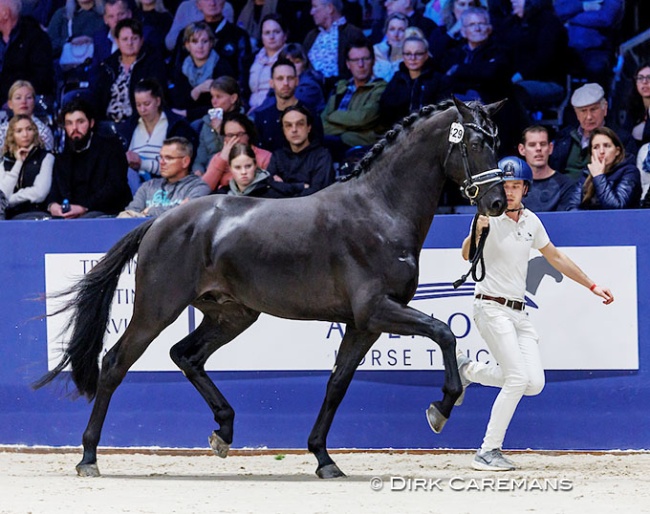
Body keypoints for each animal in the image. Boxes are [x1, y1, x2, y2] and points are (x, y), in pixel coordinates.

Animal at [34, 99, 506, 476]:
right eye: (474, 144)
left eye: (497, 141)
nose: (498, 203)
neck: (379, 210)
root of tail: (162, 220)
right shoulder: (377, 310)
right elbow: (444, 333)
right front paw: (441, 409)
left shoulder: (363, 324)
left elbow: (338, 383)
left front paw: (323, 459)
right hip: (157, 309)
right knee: (115, 363)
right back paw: (89, 457)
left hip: (232, 314)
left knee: (186, 355)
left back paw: (223, 431)